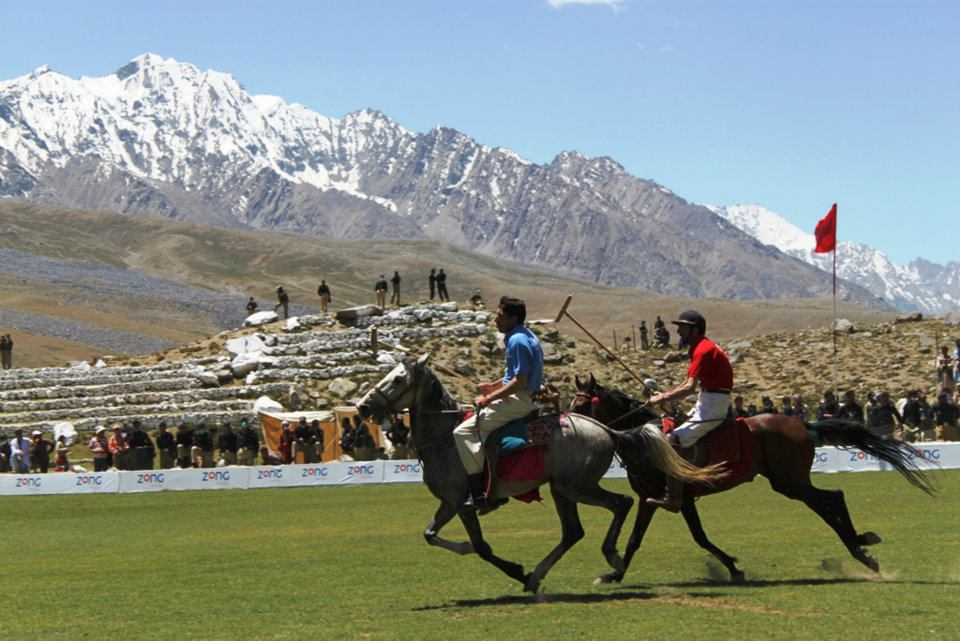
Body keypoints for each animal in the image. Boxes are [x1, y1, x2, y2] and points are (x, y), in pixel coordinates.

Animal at [356, 352, 716, 592]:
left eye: (398, 379)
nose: (362, 406)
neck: (443, 437)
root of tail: (607, 429)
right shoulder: (450, 502)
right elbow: (430, 534)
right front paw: (481, 555)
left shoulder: (463, 503)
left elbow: (482, 547)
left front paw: (515, 569)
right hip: (561, 489)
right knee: (573, 531)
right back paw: (544, 573)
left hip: (575, 486)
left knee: (621, 503)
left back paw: (610, 559)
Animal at [572, 372, 932, 584]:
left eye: (582, 404)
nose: (569, 424)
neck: (642, 440)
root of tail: (804, 424)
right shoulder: (652, 499)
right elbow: (639, 538)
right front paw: (614, 574)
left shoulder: (677, 497)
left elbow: (699, 537)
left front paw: (733, 567)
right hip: (791, 482)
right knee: (829, 502)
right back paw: (862, 546)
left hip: (789, 482)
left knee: (833, 498)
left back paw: (862, 551)